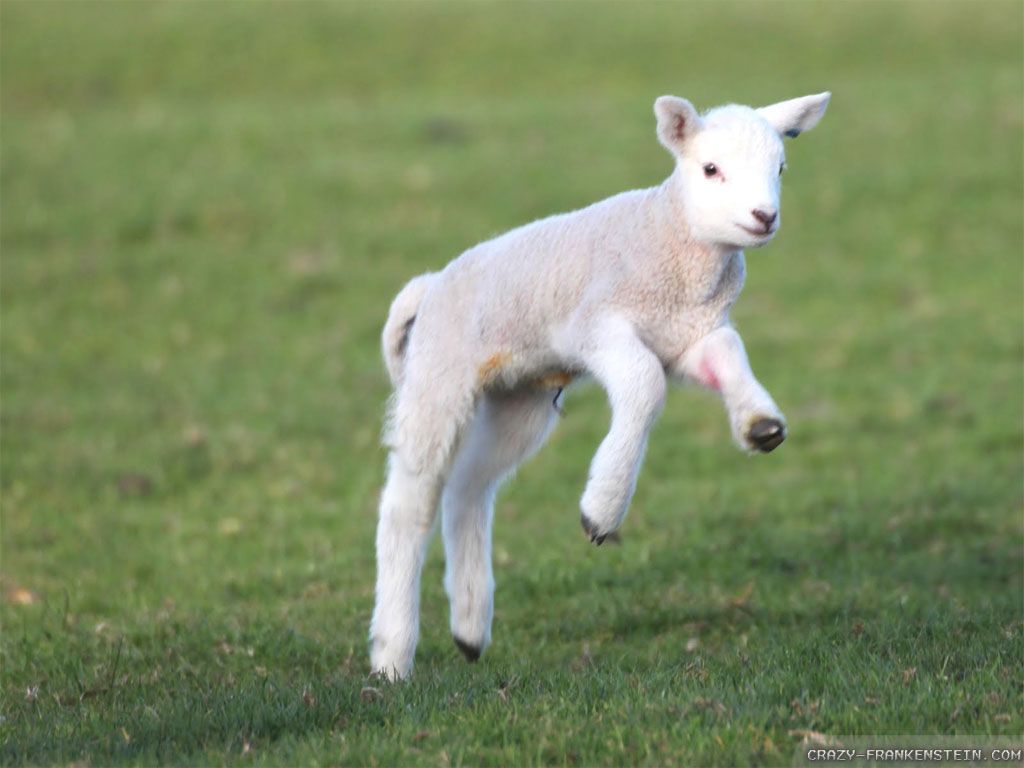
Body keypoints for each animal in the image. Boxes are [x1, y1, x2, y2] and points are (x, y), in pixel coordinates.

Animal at [370, 91, 831, 680]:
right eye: (710, 169)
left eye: (781, 168)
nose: (764, 217)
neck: (672, 244)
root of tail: (429, 287)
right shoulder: (596, 325)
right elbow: (646, 383)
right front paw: (602, 510)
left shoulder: (690, 335)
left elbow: (728, 354)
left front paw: (761, 425)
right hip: (439, 374)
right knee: (409, 502)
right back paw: (392, 654)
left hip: (520, 398)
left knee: (469, 488)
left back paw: (469, 628)